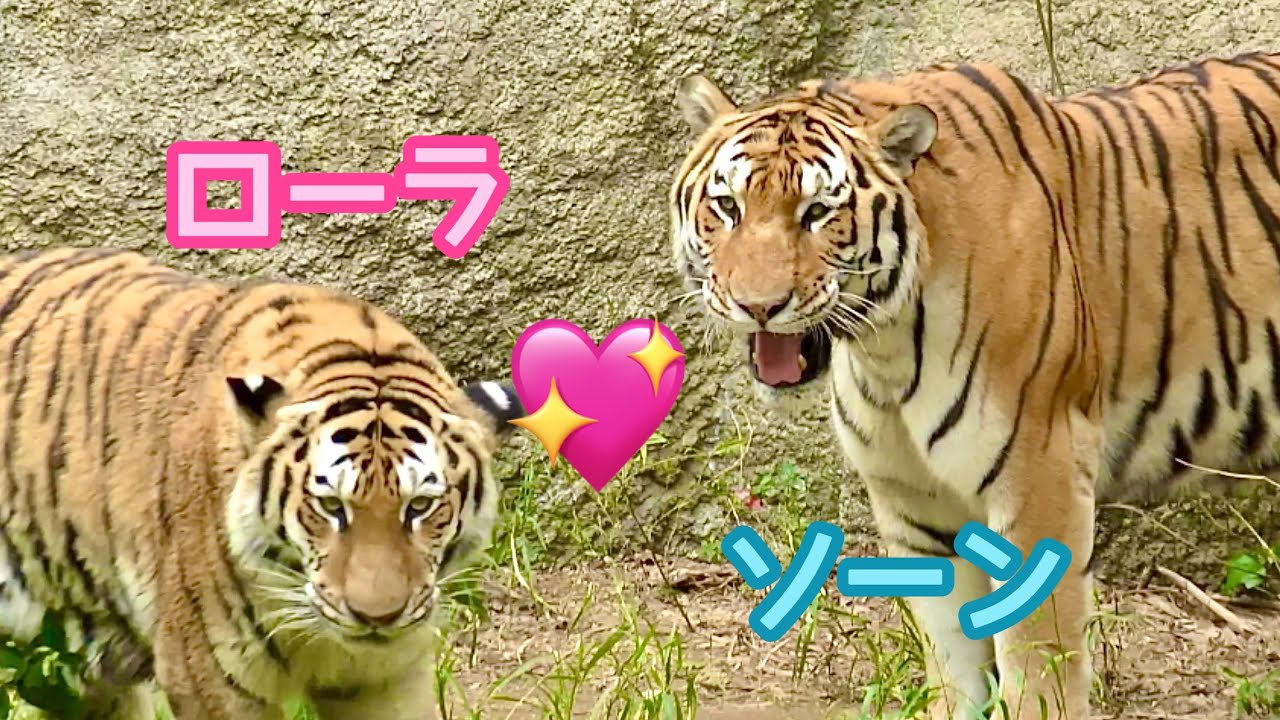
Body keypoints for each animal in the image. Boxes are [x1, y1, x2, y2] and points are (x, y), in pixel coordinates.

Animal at [670, 51, 1280, 719]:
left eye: (818, 213)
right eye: (728, 206)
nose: (759, 306)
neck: (885, 348)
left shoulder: (1042, 477)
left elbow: (1039, 667)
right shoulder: (917, 506)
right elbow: (954, 661)